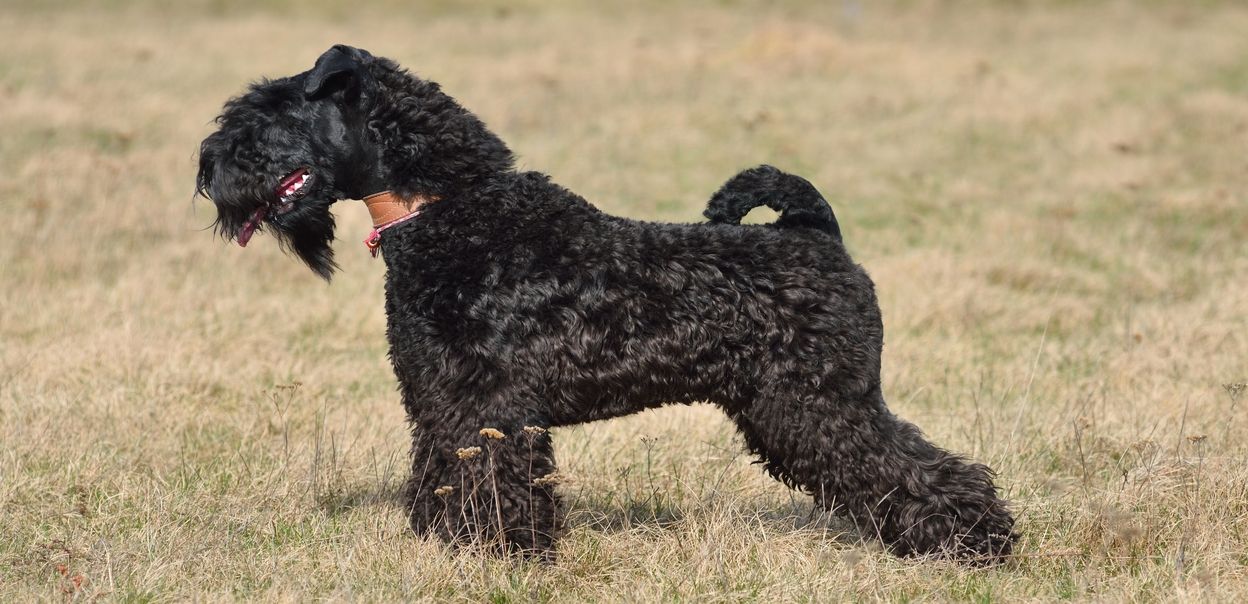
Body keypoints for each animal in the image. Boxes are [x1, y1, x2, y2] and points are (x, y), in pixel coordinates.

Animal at [194, 44, 1013, 564]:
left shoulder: (490, 404)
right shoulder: (440, 400)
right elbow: (443, 474)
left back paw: (978, 543)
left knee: (919, 467)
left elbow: (496, 482)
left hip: (822, 404)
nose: (207, 170)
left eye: (271, 114)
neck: (451, 211)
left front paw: (504, 555)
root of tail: (816, 233)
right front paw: (450, 548)